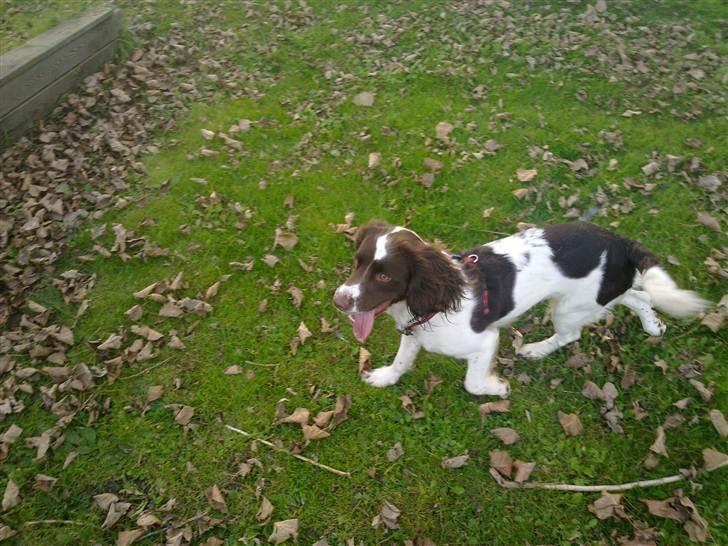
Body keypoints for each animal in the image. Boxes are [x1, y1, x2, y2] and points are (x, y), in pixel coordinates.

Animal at [332, 220, 708, 396]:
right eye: (357, 262)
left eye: (384, 275)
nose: (338, 301)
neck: (435, 303)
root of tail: (620, 242)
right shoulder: (413, 333)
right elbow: (401, 360)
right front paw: (385, 377)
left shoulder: (485, 341)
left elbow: (472, 383)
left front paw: (497, 388)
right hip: (597, 294)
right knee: (639, 297)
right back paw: (653, 326)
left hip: (570, 307)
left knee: (570, 335)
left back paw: (537, 349)